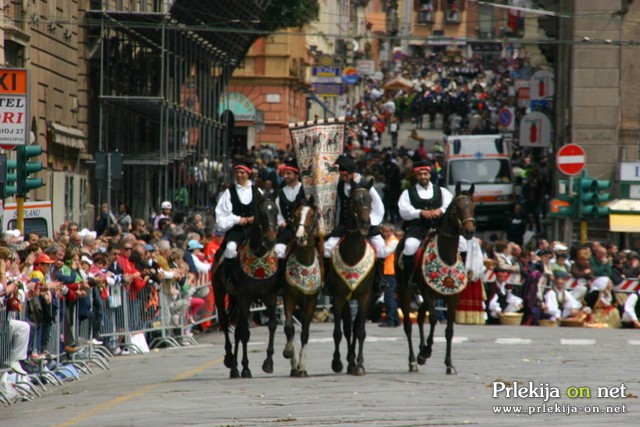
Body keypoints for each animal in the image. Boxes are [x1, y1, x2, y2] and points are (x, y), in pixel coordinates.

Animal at [212, 196, 280, 380]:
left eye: (275, 211)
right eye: (261, 213)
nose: (270, 240)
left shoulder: (269, 295)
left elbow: (272, 325)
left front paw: (268, 363)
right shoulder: (244, 296)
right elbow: (244, 333)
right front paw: (246, 368)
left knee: (236, 329)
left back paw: (234, 369)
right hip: (220, 293)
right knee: (225, 322)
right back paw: (230, 360)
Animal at [396, 183, 476, 374]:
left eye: (473, 206)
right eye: (457, 208)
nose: (469, 231)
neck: (446, 257)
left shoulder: (453, 297)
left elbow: (449, 330)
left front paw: (449, 364)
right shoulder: (428, 293)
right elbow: (432, 318)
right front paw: (426, 351)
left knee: (419, 317)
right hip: (405, 291)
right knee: (408, 325)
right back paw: (413, 360)